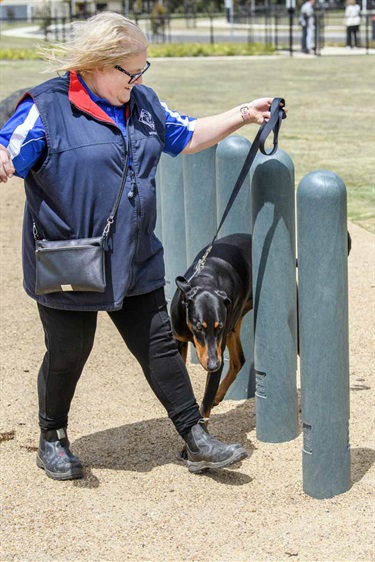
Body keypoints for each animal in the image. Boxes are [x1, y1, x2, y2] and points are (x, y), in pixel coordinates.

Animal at [172, 231, 254, 420]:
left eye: (219, 327)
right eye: (199, 327)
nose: (213, 365)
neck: (205, 281)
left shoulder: (219, 346)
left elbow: (205, 405)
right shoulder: (180, 340)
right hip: (233, 326)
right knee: (239, 360)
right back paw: (219, 394)